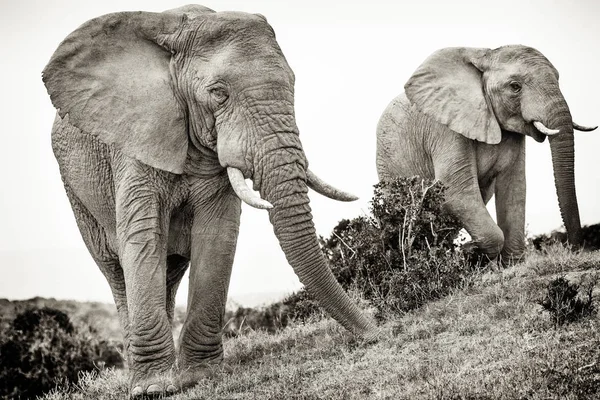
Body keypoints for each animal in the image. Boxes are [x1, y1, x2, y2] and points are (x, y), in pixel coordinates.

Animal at [42, 4, 378, 398]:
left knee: (169, 269)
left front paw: (199, 376)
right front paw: (154, 388)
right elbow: (143, 237)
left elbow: (217, 235)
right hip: (76, 191)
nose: (376, 331)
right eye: (219, 94)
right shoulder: (133, 142)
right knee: (116, 270)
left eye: (293, 83)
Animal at [380, 45, 596, 260]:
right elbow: (456, 191)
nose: (573, 248)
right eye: (515, 86)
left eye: (558, 79)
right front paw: (472, 253)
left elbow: (514, 189)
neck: (484, 55)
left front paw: (510, 263)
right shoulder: (445, 127)